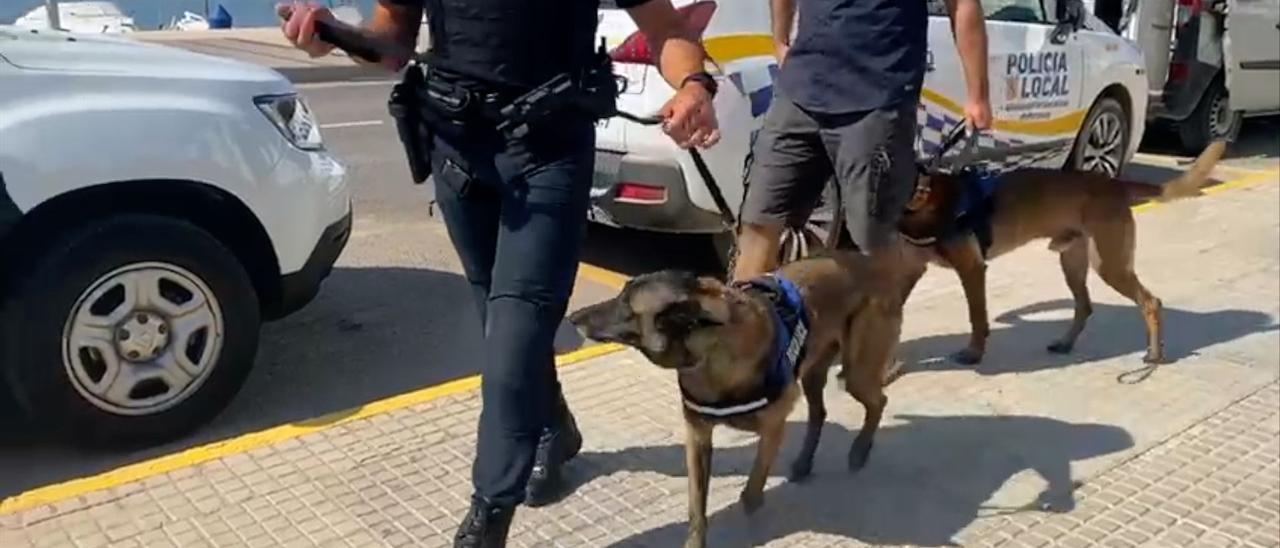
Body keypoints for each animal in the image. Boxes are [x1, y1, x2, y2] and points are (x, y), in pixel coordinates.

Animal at [568, 245, 921, 545]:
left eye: (626, 307)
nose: (573, 317)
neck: (710, 354)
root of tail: (869, 264)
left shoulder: (773, 430)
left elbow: (750, 494)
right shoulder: (697, 438)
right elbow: (697, 509)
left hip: (856, 372)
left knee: (878, 402)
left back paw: (860, 450)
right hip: (814, 372)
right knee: (820, 413)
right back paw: (805, 461)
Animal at [896, 138, 1223, 366]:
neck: (923, 196)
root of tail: (1114, 184)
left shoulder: (972, 269)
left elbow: (977, 317)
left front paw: (974, 353)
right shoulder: (911, 270)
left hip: (1109, 265)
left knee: (1150, 302)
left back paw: (1153, 355)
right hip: (1073, 262)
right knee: (1085, 306)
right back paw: (1065, 343)